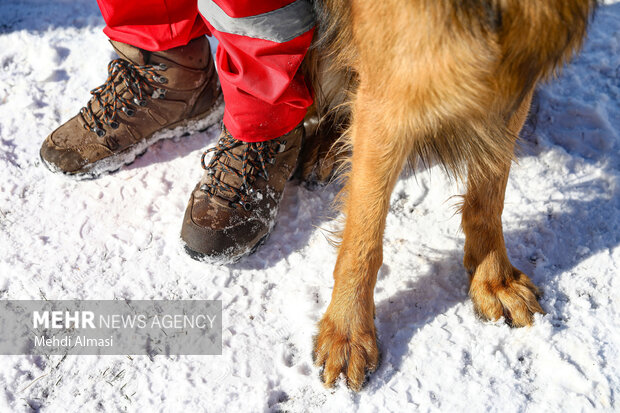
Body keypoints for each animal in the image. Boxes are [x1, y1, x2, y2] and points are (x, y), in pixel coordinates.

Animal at [306, 0, 596, 390]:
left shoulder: (511, 72)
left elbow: (488, 199)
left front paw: (494, 279)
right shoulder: (388, 92)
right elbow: (362, 238)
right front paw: (348, 331)